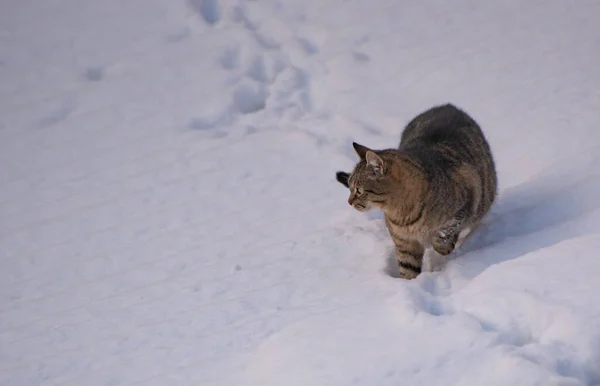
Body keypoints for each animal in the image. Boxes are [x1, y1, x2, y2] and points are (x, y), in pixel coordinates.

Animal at [338, 102, 496, 278]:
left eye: (358, 190)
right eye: (350, 187)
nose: (349, 201)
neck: (402, 214)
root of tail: (448, 105)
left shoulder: (468, 195)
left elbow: (445, 231)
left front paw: (443, 246)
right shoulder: (405, 243)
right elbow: (408, 268)